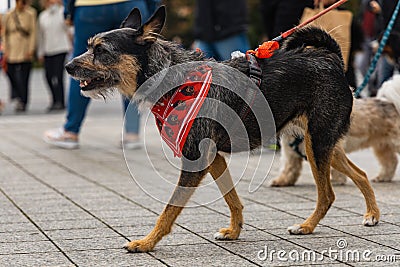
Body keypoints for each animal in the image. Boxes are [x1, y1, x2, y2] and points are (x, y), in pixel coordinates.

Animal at [64, 6, 380, 253]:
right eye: (89, 46)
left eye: (101, 51)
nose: (68, 66)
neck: (174, 80)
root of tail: (331, 59)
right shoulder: (213, 157)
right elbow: (232, 199)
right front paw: (235, 231)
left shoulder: (195, 160)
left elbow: (169, 209)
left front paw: (147, 242)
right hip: (319, 143)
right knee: (361, 174)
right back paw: (372, 214)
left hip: (317, 143)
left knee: (327, 195)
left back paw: (307, 226)